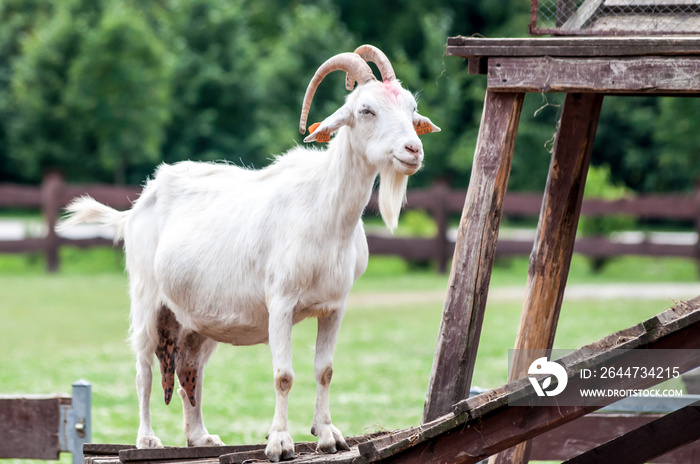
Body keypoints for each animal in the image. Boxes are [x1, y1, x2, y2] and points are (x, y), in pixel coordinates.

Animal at [64, 44, 438, 460]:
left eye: (410, 108)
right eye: (366, 110)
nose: (413, 149)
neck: (323, 210)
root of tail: (133, 209)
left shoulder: (334, 306)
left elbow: (324, 370)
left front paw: (327, 435)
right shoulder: (281, 302)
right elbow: (283, 375)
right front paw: (279, 443)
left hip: (197, 321)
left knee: (189, 370)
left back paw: (200, 437)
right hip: (147, 298)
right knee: (144, 368)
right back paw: (146, 438)